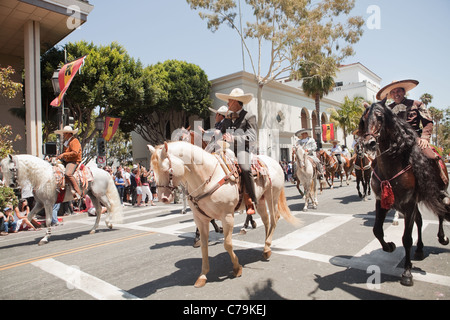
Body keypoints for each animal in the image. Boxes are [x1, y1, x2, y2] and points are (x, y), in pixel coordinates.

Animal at [149, 142, 302, 288]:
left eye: (167, 170)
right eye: (152, 170)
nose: (163, 198)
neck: (207, 177)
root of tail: (274, 162)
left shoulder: (227, 216)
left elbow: (227, 244)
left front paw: (237, 268)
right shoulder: (200, 219)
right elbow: (204, 246)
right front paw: (203, 275)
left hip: (272, 196)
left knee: (274, 218)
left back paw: (266, 245)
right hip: (260, 201)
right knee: (266, 221)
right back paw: (265, 247)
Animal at [358, 99, 450, 286]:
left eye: (380, 116)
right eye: (363, 119)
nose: (369, 143)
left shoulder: (409, 204)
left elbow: (407, 239)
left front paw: (407, 272)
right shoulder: (383, 201)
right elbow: (377, 230)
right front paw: (389, 246)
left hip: (438, 192)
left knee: (440, 213)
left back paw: (442, 238)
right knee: (420, 222)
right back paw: (420, 249)